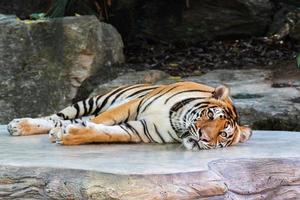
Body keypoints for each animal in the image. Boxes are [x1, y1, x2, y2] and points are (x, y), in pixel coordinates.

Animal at [6, 81, 251, 150]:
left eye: (223, 134)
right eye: (210, 114)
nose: (203, 137)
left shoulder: (140, 130)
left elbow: (106, 132)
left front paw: (71, 134)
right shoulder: (133, 105)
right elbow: (101, 121)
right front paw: (60, 133)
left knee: (67, 119)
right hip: (95, 101)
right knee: (56, 116)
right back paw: (18, 125)